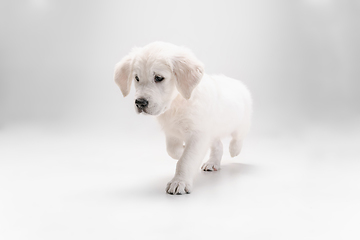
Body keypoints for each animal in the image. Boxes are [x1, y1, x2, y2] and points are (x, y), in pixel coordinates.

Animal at [114, 41, 252, 195]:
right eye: (137, 78)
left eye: (158, 78)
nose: (140, 103)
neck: (176, 104)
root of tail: (238, 83)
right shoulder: (172, 132)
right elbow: (172, 150)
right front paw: (181, 150)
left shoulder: (198, 135)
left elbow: (186, 160)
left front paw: (179, 182)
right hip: (212, 131)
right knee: (218, 145)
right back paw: (212, 163)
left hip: (242, 121)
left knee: (239, 136)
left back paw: (234, 150)